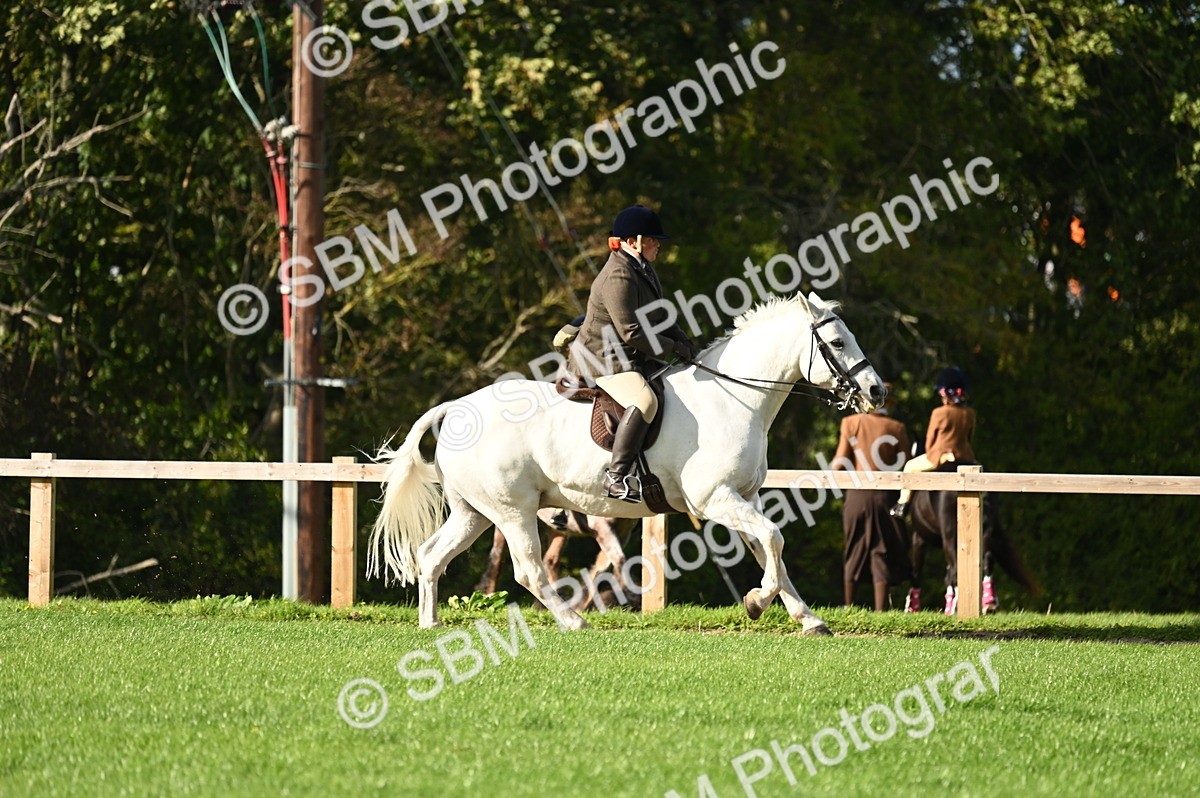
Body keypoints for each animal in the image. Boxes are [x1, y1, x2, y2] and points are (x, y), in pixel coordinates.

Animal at [474, 509, 639, 612]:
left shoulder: (622, 531)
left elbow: (601, 569)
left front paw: (580, 606)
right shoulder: (602, 528)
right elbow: (619, 561)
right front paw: (630, 597)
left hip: (556, 530)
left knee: (550, 560)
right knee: (496, 558)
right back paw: (487, 596)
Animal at [908, 462, 1039, 613]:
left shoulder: (919, 538)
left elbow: (917, 571)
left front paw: (913, 606)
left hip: (949, 538)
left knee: (956, 568)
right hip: (984, 532)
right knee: (986, 559)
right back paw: (989, 602)